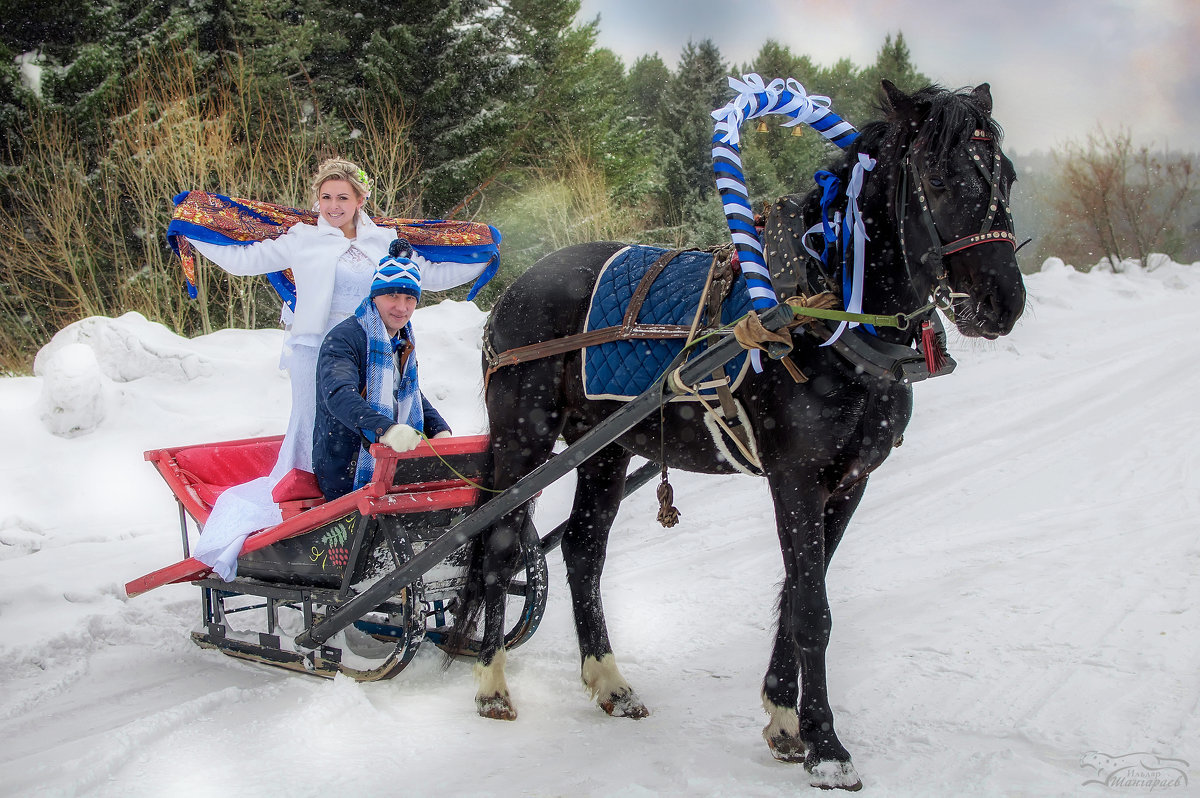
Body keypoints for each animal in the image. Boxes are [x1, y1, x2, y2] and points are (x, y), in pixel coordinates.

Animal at [451, 78, 1022, 787]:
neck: (821, 313)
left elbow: (796, 595)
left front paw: (784, 721)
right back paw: (491, 683)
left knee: (583, 552)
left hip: (606, 448)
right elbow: (811, 610)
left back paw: (610, 682)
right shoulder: (795, 479)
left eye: (1008, 175)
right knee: (499, 547)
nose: (1003, 303)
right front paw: (827, 747)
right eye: (939, 178)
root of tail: (514, 292)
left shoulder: (847, 484)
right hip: (522, 440)